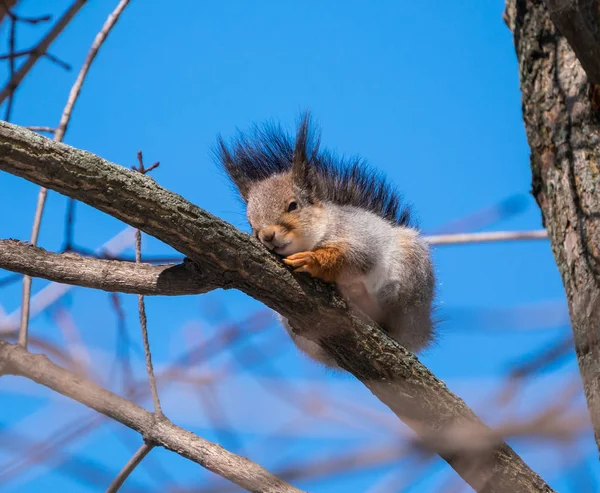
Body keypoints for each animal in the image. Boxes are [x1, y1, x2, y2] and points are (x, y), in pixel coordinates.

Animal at [216, 112, 436, 366]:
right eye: (251, 224)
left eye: (293, 206)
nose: (267, 235)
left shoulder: (360, 237)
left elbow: (354, 257)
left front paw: (313, 260)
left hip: (410, 276)